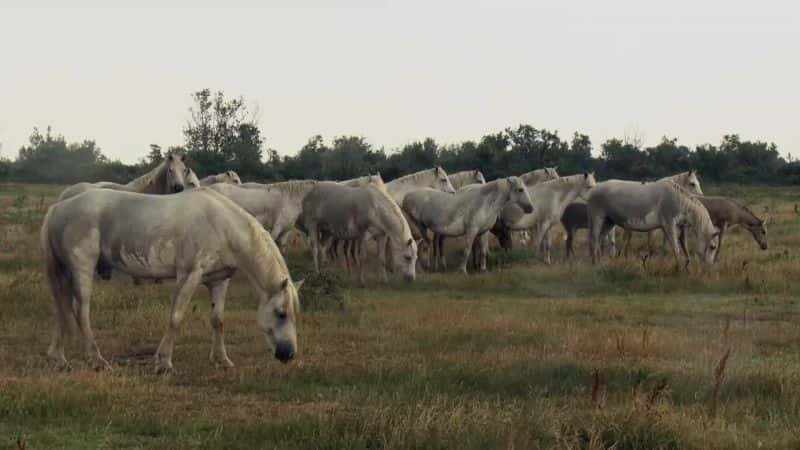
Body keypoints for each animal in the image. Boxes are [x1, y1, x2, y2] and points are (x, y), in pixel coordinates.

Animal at [41, 187, 304, 372]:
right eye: (281, 313)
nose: (289, 354)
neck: (222, 226)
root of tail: (58, 208)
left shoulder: (219, 281)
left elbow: (217, 320)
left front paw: (221, 360)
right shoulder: (189, 276)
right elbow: (176, 318)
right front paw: (164, 362)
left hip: (65, 272)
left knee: (62, 308)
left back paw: (59, 359)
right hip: (82, 268)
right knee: (81, 310)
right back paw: (96, 360)